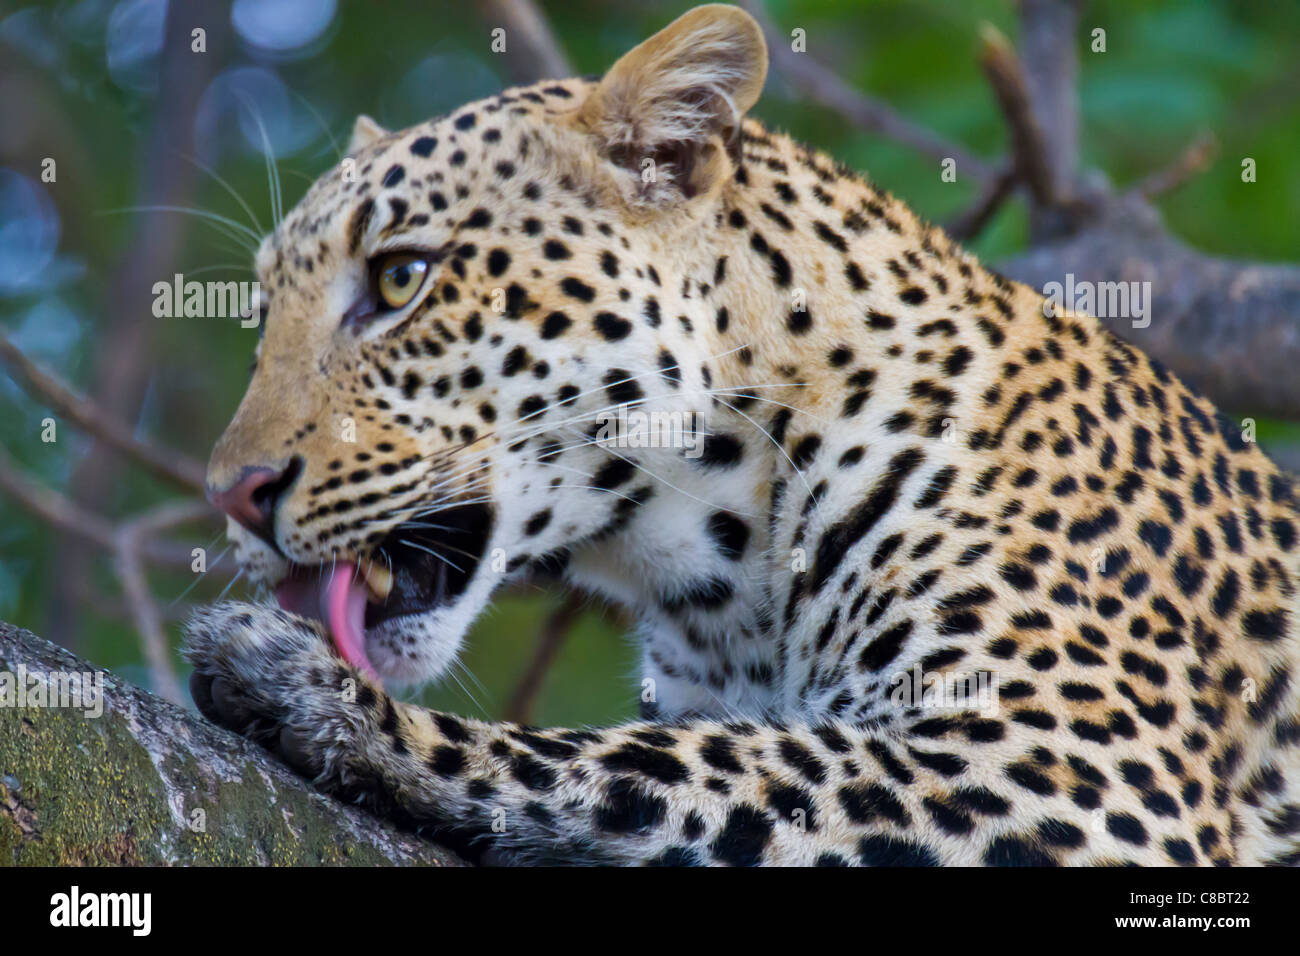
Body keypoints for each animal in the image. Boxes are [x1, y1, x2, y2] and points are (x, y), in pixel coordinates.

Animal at [184, 4, 1300, 866]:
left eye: (401, 278)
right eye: (262, 317)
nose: (231, 492)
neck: (720, 578)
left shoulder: (1071, 777)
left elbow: (668, 760)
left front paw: (320, 692)